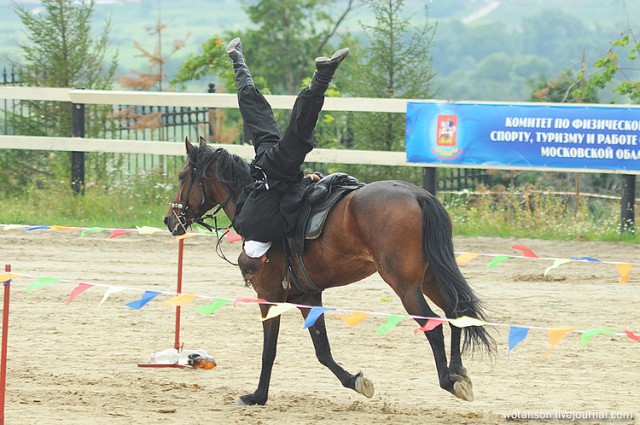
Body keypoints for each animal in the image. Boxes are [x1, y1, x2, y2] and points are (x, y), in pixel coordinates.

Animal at [162, 137, 492, 406]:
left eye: (182, 176)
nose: (169, 219)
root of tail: (417, 195)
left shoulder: (268, 296)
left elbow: (269, 350)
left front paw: (258, 395)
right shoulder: (307, 297)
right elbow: (322, 349)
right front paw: (355, 381)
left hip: (405, 285)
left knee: (433, 325)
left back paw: (448, 380)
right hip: (429, 278)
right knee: (455, 313)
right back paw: (459, 373)